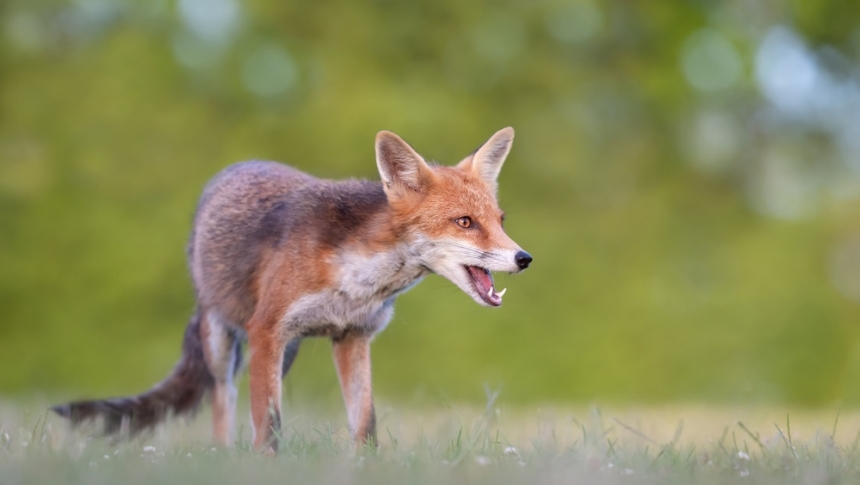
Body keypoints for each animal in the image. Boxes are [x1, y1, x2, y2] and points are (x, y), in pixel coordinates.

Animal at [52, 125, 532, 450]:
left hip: (284, 354)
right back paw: (222, 457)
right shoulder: (267, 331)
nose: (524, 258)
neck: (358, 280)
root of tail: (240, 164)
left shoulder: (352, 338)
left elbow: (365, 425)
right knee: (223, 401)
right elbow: (270, 429)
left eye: (500, 221)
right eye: (464, 222)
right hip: (225, 340)